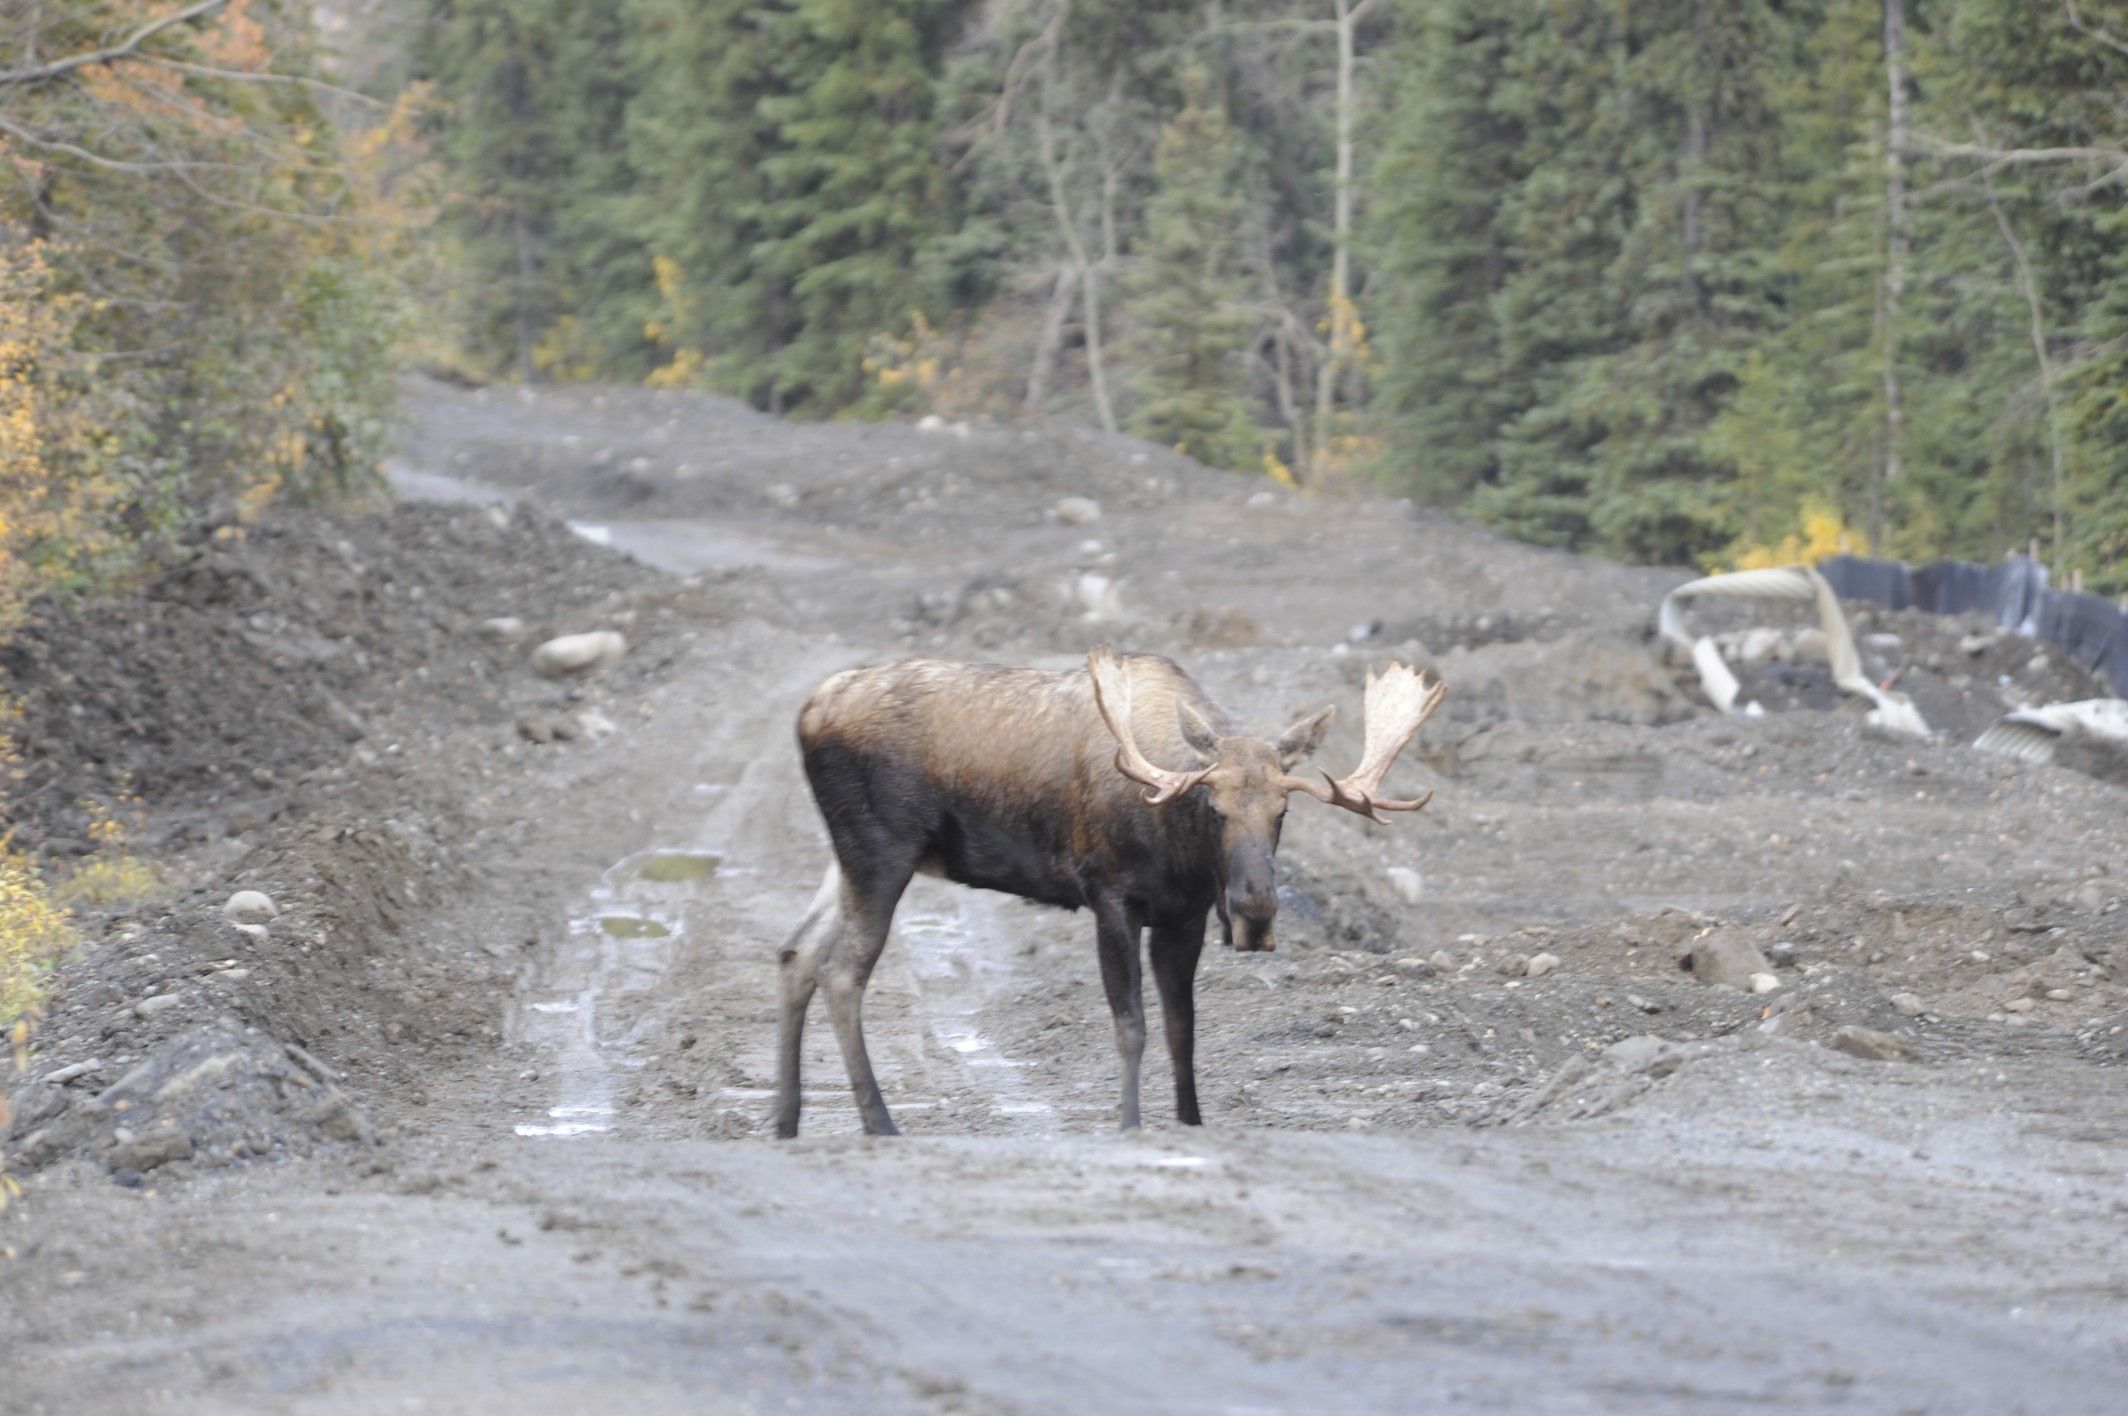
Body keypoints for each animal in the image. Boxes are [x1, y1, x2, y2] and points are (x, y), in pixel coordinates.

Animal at [770, 643, 1447, 1141]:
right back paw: (878, 1123)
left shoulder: (1184, 917)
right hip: (882, 851)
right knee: (842, 972)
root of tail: (806, 713)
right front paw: (1129, 1123)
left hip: (847, 859)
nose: (1254, 912)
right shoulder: (1110, 896)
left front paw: (1191, 1122)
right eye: (1215, 806)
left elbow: (1182, 1028)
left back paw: (786, 1119)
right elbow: (1131, 1025)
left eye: (1283, 810)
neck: (1179, 845)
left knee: (796, 952)